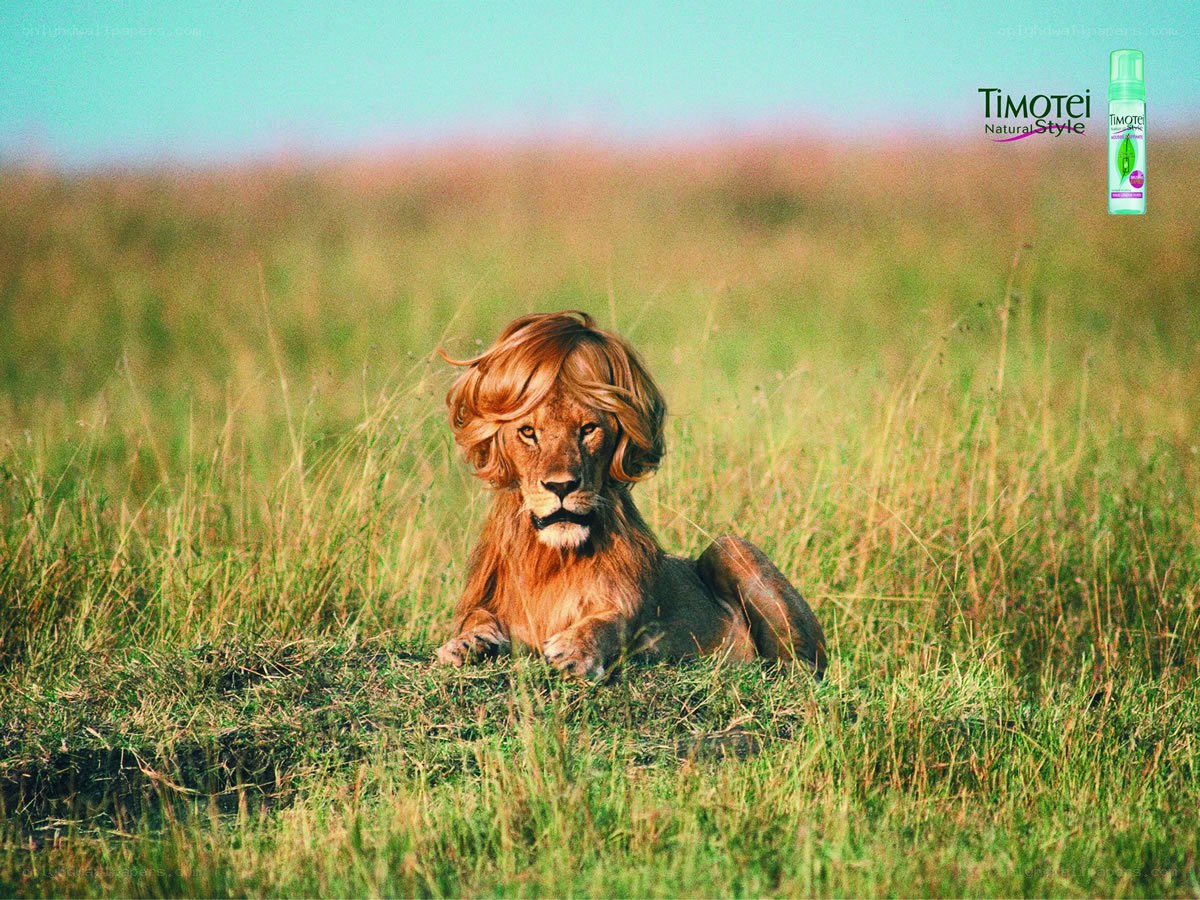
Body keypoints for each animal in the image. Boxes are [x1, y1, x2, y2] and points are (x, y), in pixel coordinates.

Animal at [435, 310, 826, 679]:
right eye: (528, 432)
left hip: (730, 547)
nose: (561, 486)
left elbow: (610, 621)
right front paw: (467, 644)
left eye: (588, 429)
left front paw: (576, 649)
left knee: (800, 666)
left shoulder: (638, 615)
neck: (552, 559)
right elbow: (477, 617)